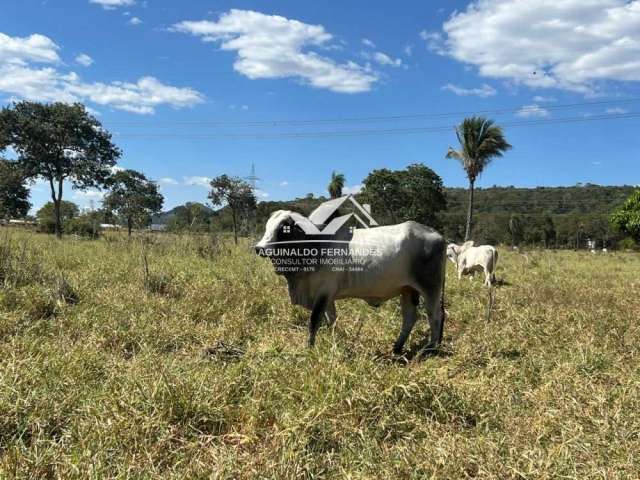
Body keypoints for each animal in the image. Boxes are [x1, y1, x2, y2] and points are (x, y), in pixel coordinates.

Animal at [255, 212, 444, 354]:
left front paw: (309, 349)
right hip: (408, 290)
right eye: (267, 226)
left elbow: (314, 321)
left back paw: (430, 350)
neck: (316, 243)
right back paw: (397, 348)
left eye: (283, 228)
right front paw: (332, 342)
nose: (259, 248)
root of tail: (437, 234)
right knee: (410, 318)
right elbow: (331, 320)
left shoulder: (323, 292)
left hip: (430, 288)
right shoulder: (328, 296)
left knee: (435, 316)